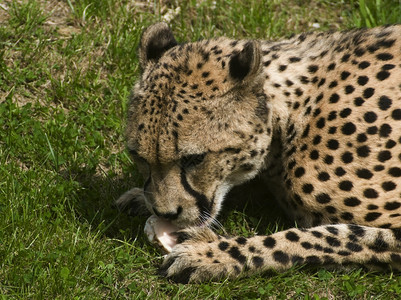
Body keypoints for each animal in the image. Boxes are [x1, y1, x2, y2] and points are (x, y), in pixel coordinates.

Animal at [115, 22, 401, 282]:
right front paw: (140, 197)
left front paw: (213, 253)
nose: (165, 213)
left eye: (194, 159)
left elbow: (327, 236)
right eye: (139, 157)